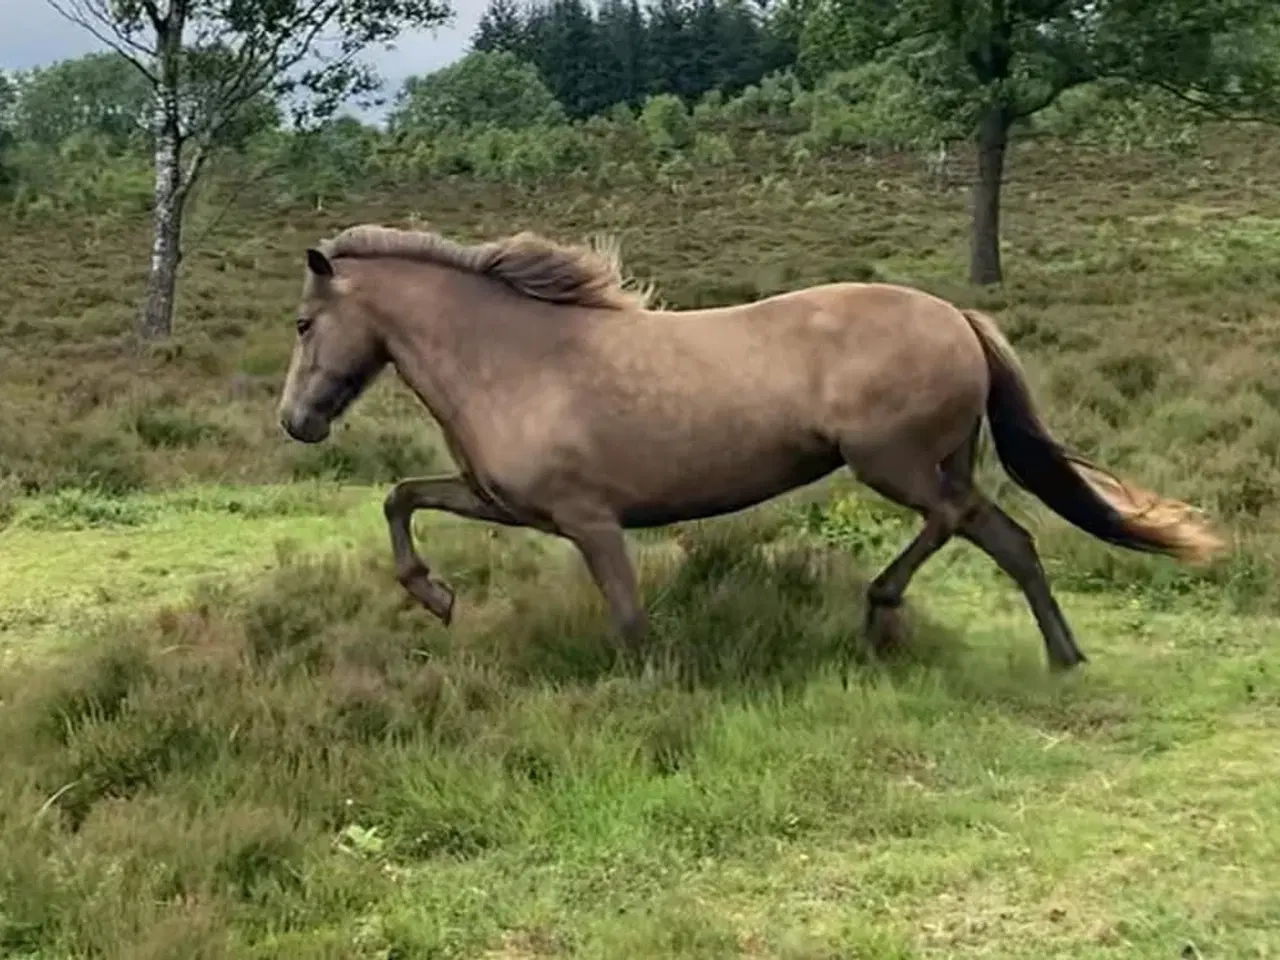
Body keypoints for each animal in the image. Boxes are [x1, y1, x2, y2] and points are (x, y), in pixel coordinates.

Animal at [277, 225, 1218, 670]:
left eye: (302, 322)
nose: (296, 421)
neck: (516, 358)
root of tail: (957, 315)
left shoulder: (589, 521)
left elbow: (628, 621)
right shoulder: (505, 503)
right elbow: (401, 495)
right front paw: (434, 598)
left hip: (895, 463)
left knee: (977, 529)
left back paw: (938, 625)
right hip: (932, 464)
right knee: (989, 534)